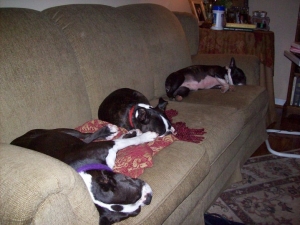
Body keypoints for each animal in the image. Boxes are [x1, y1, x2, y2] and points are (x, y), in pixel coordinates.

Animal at [10, 125, 157, 225]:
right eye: (136, 213)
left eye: (137, 192)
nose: (149, 199)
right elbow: (125, 142)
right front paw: (144, 136)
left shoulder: (106, 146)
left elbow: (128, 142)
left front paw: (146, 136)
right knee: (86, 138)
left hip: (57, 131)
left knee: (85, 136)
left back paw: (113, 131)